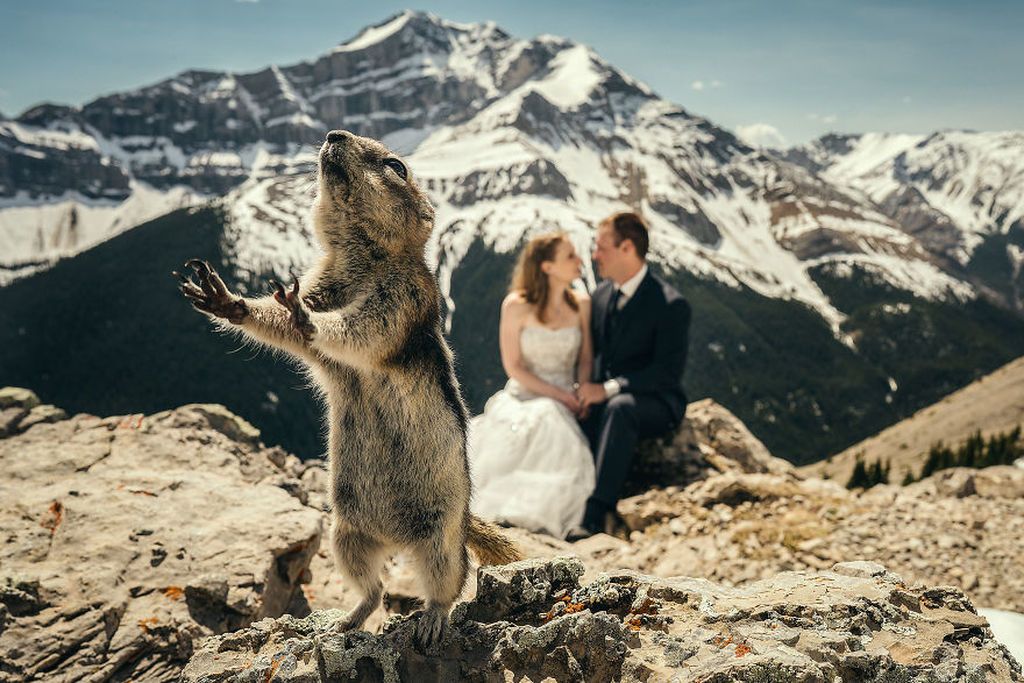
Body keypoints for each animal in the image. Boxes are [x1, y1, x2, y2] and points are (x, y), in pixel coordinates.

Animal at [174, 126, 520, 647]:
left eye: (396, 166)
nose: (333, 133)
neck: (361, 259)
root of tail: (398, 538)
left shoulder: (403, 296)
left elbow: (362, 330)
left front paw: (307, 319)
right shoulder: (323, 281)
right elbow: (283, 326)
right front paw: (230, 301)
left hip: (439, 537)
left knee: (449, 580)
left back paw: (433, 619)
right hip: (345, 533)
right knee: (375, 588)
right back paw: (348, 619)